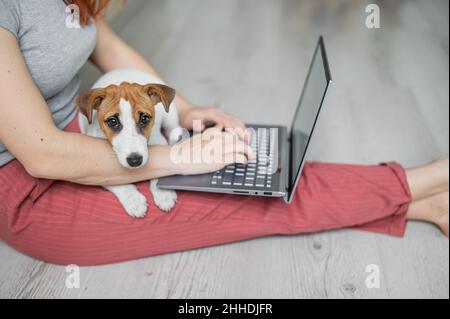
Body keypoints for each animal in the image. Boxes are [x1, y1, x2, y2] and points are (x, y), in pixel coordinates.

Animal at [78, 69, 180, 219]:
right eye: (112, 121)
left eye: (145, 118)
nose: (135, 160)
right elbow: (115, 182)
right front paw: (133, 199)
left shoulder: (159, 141)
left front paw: (163, 192)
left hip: (170, 115)